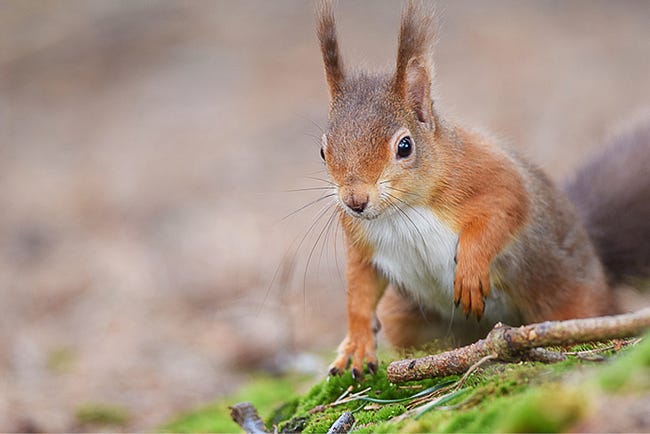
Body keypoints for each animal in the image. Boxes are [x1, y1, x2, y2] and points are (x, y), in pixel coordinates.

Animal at [316, 0, 648, 380]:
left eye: (404, 146)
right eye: (323, 151)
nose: (354, 201)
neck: (403, 210)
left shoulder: (487, 173)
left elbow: (505, 207)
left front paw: (471, 272)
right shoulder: (361, 241)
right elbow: (358, 292)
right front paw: (356, 345)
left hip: (571, 299)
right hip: (405, 316)